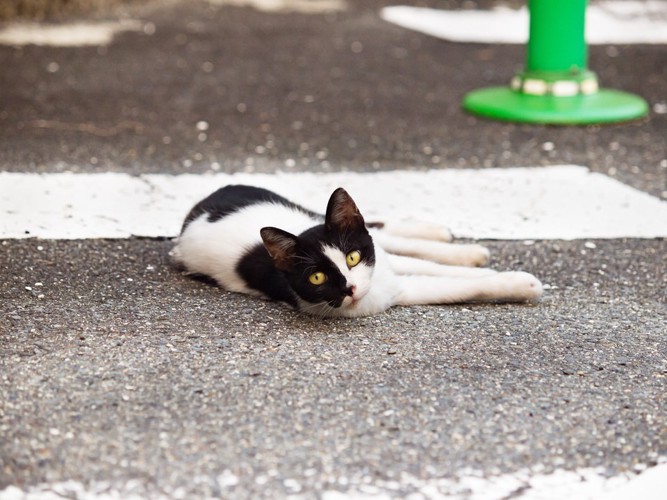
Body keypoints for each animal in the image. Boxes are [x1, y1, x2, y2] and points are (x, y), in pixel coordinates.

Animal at [171, 186, 544, 318]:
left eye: (352, 258)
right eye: (317, 278)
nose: (349, 288)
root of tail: (196, 211)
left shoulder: (382, 265)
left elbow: (438, 269)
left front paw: (478, 265)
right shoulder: (396, 292)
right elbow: (458, 286)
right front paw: (519, 283)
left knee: (383, 232)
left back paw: (445, 237)